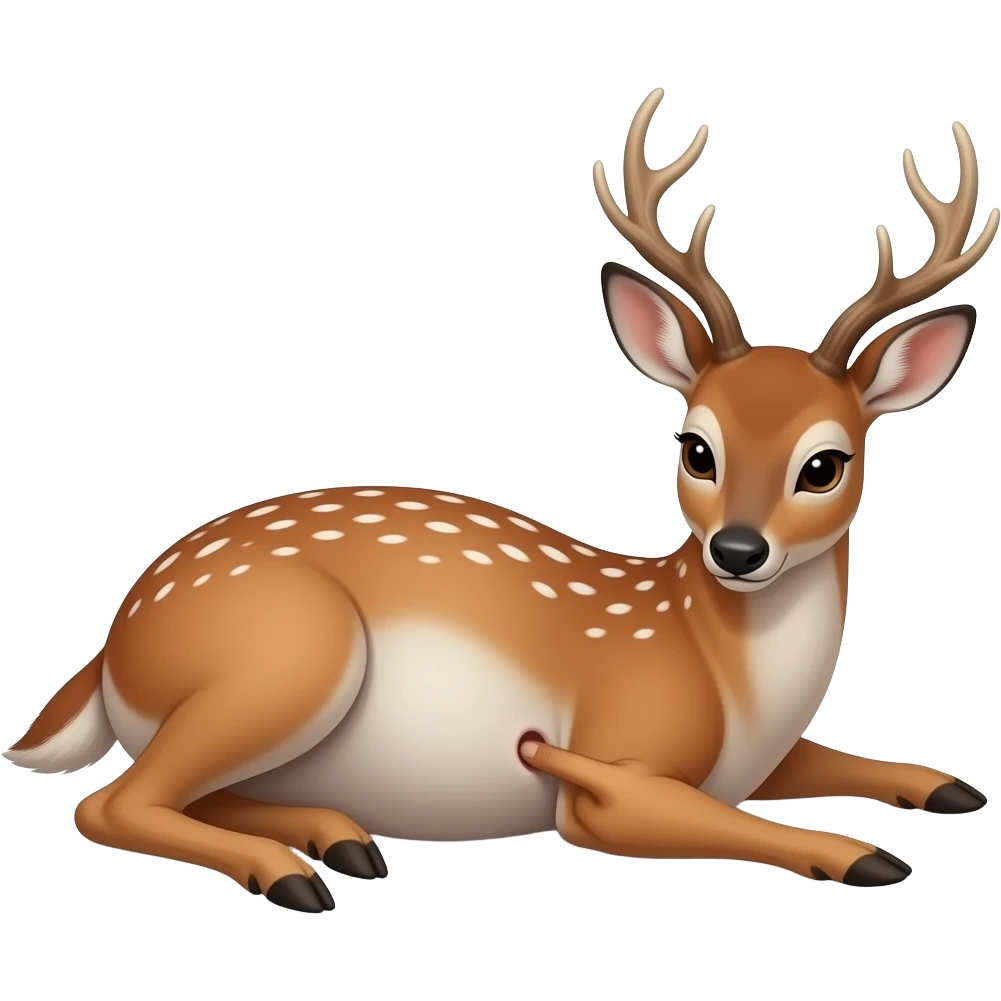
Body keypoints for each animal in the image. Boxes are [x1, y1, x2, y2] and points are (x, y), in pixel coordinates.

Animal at [3, 91, 996, 912]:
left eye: (824, 464)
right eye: (695, 447)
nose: (738, 551)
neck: (726, 675)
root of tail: (116, 643)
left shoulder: (757, 758)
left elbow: (835, 762)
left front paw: (946, 785)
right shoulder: (613, 768)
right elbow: (710, 816)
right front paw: (863, 854)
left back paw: (338, 835)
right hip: (287, 654)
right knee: (110, 800)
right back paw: (294, 869)